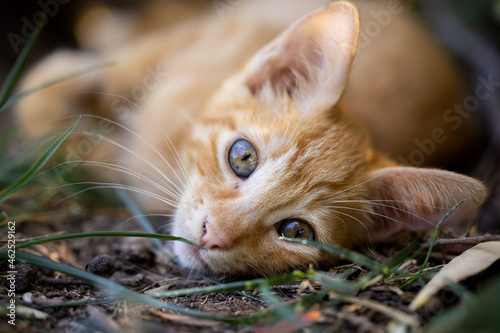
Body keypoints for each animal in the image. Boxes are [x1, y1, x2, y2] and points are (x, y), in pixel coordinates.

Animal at [15, 0, 484, 274]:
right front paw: (65, 80)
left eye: (296, 231)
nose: (213, 234)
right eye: (243, 157)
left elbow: (83, 149)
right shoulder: (223, 33)